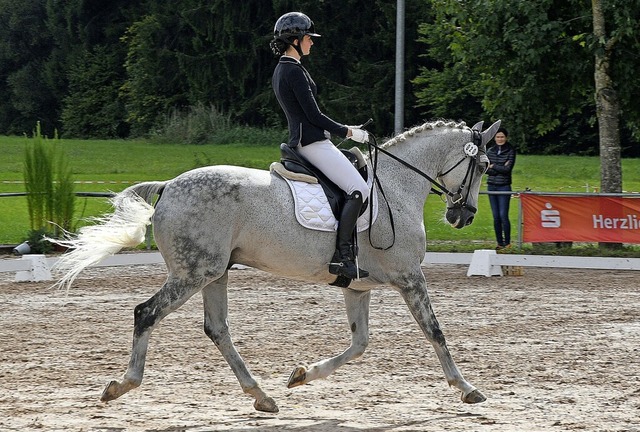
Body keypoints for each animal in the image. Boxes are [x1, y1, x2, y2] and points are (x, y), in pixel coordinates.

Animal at [52, 117, 500, 412]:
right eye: (484, 165)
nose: (464, 216)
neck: (396, 187)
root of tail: (168, 186)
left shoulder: (358, 286)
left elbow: (360, 343)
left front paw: (302, 375)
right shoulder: (410, 277)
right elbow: (435, 332)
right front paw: (466, 388)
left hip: (214, 273)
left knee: (217, 328)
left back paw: (261, 395)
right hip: (192, 273)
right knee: (146, 313)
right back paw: (121, 385)